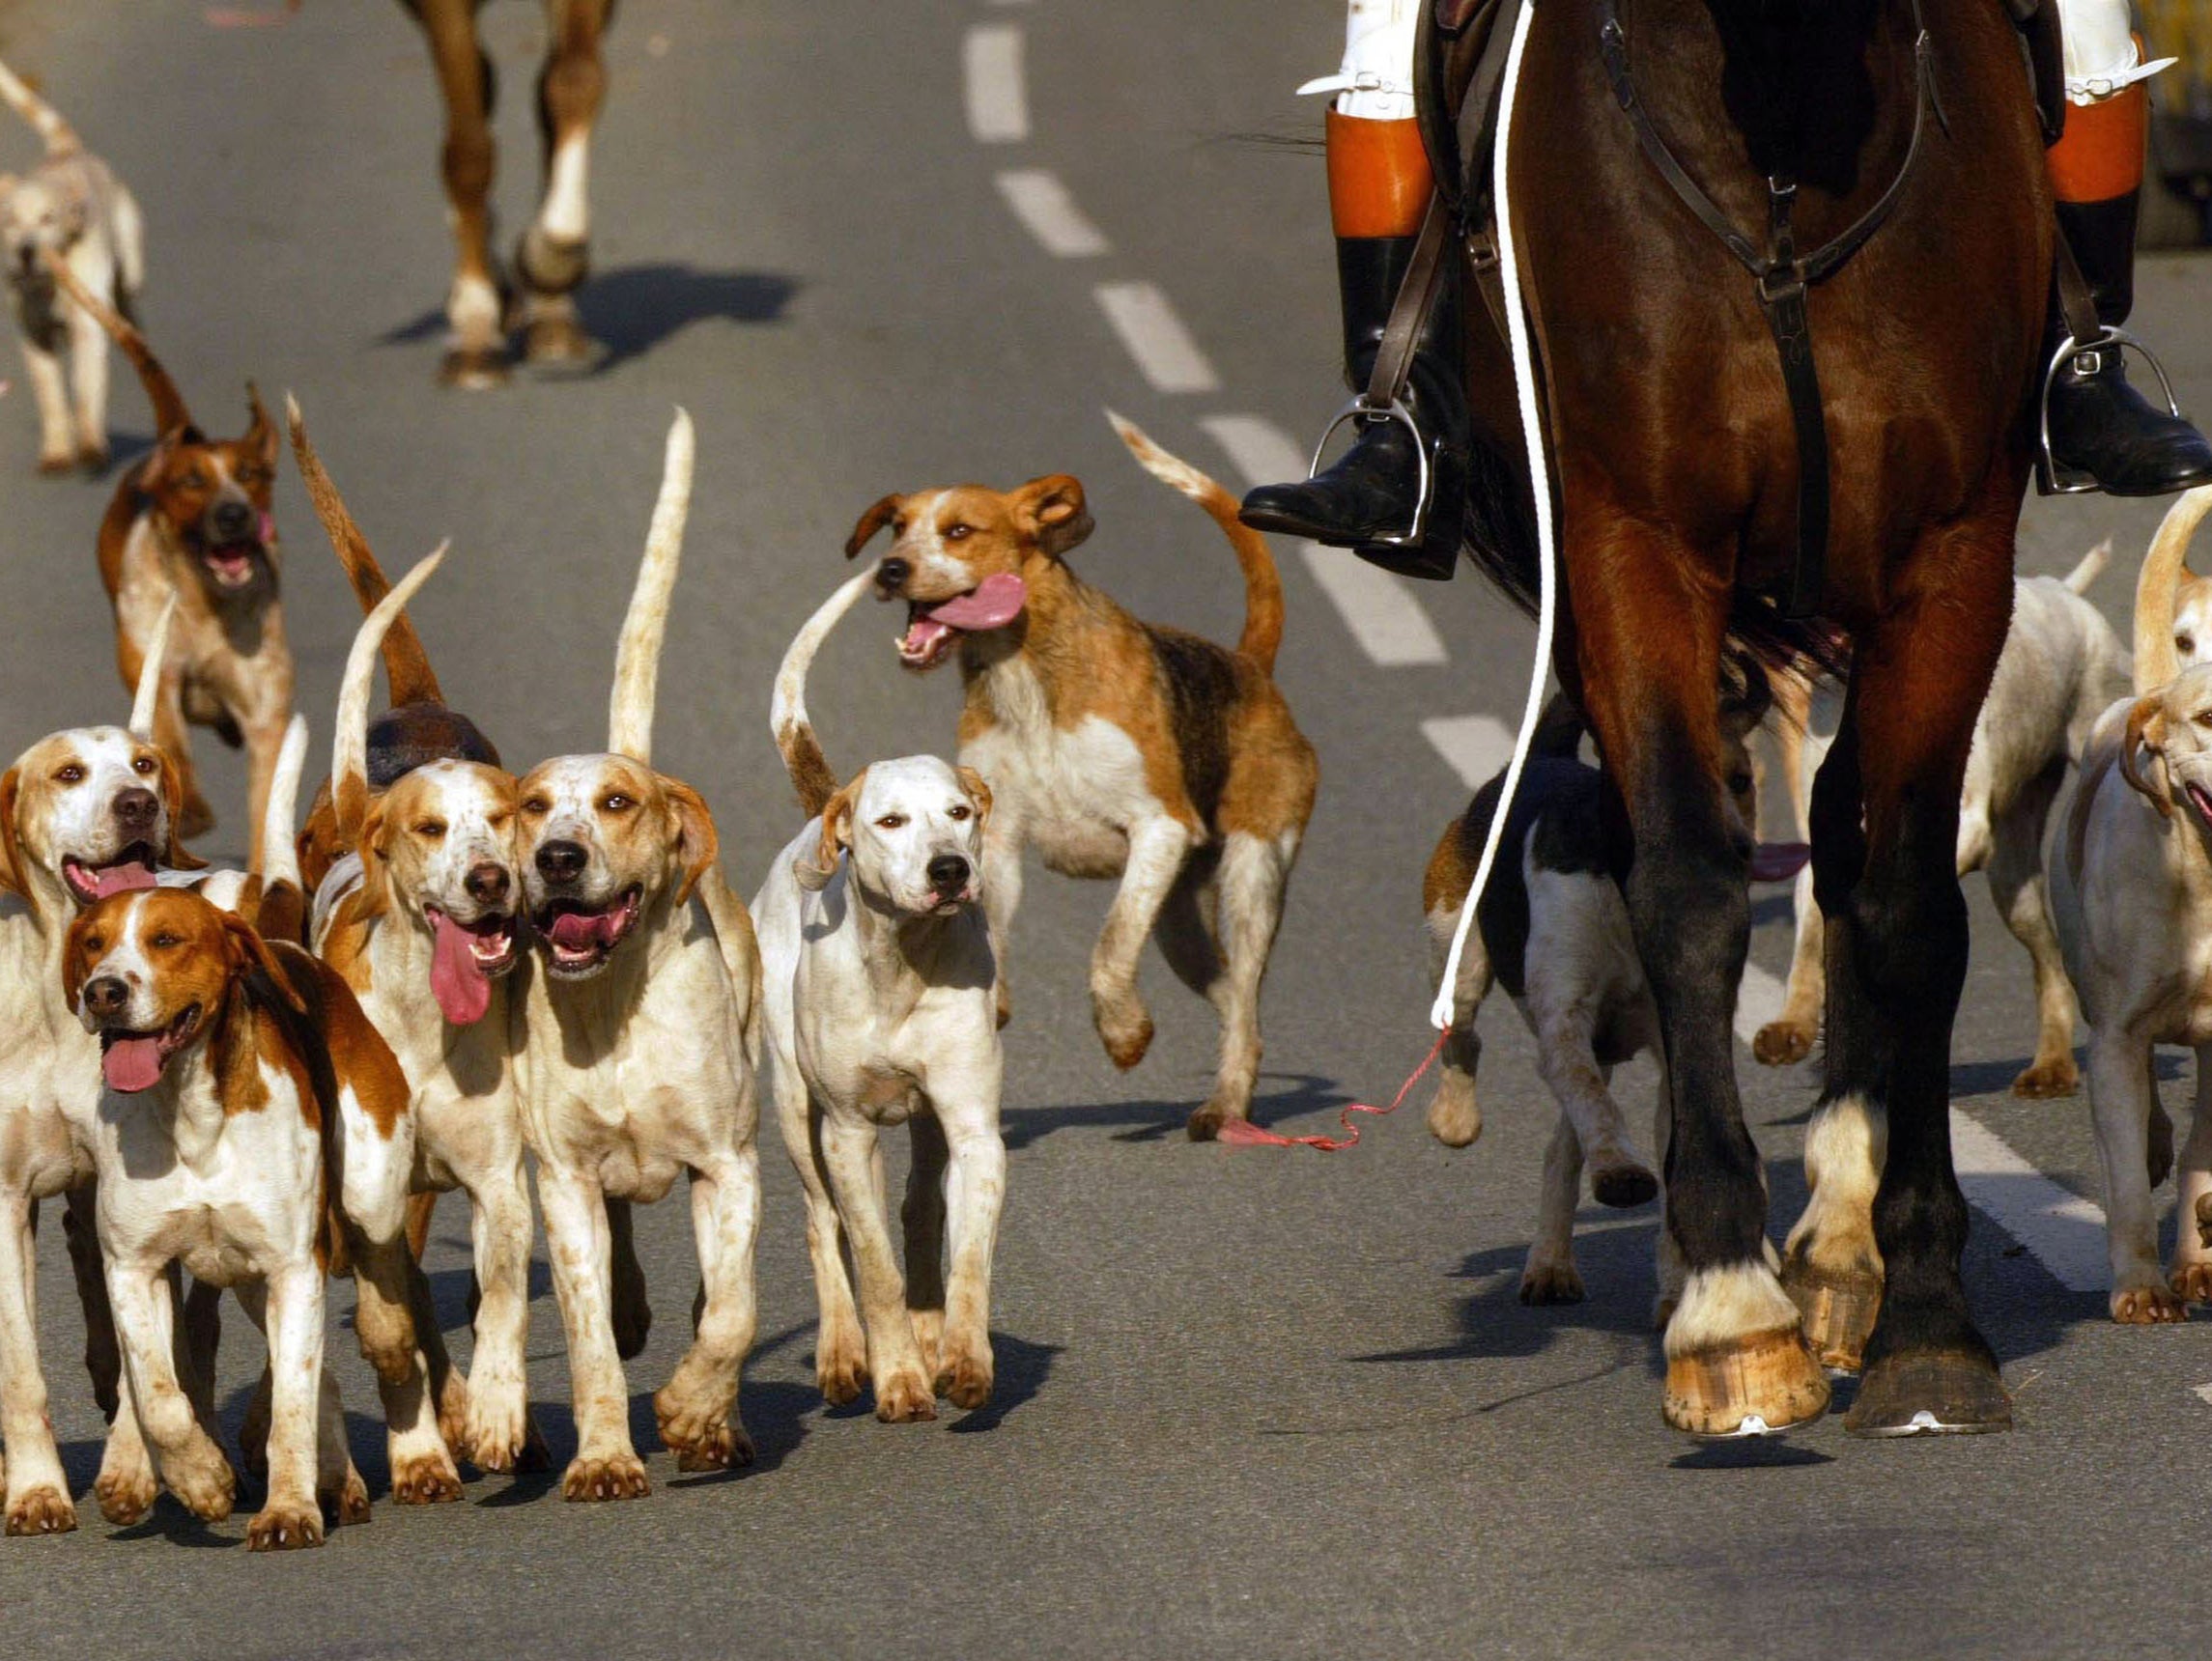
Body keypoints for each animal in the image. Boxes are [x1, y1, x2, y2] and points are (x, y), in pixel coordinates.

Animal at [402, 0, 614, 386]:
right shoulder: (441, 9)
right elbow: (469, 151)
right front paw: (475, 330)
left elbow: (575, 80)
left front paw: (551, 258)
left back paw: (550, 318)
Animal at [1451, 0, 2053, 1433]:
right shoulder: (1632, 538)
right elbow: (1684, 885)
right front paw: (1729, 1308)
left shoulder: (1952, 557)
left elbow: (1905, 906)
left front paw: (1925, 1316)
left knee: (1843, 838)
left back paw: (1840, 1236)